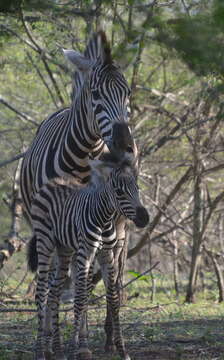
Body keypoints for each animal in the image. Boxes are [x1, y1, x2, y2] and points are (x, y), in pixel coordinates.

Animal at [27, 157, 149, 360]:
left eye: (137, 188)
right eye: (119, 192)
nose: (144, 218)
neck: (105, 219)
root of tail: (51, 183)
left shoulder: (107, 255)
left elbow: (113, 299)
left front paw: (122, 349)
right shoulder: (85, 253)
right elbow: (80, 299)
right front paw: (76, 349)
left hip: (64, 251)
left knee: (54, 292)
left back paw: (56, 350)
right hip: (45, 243)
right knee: (42, 292)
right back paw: (39, 351)